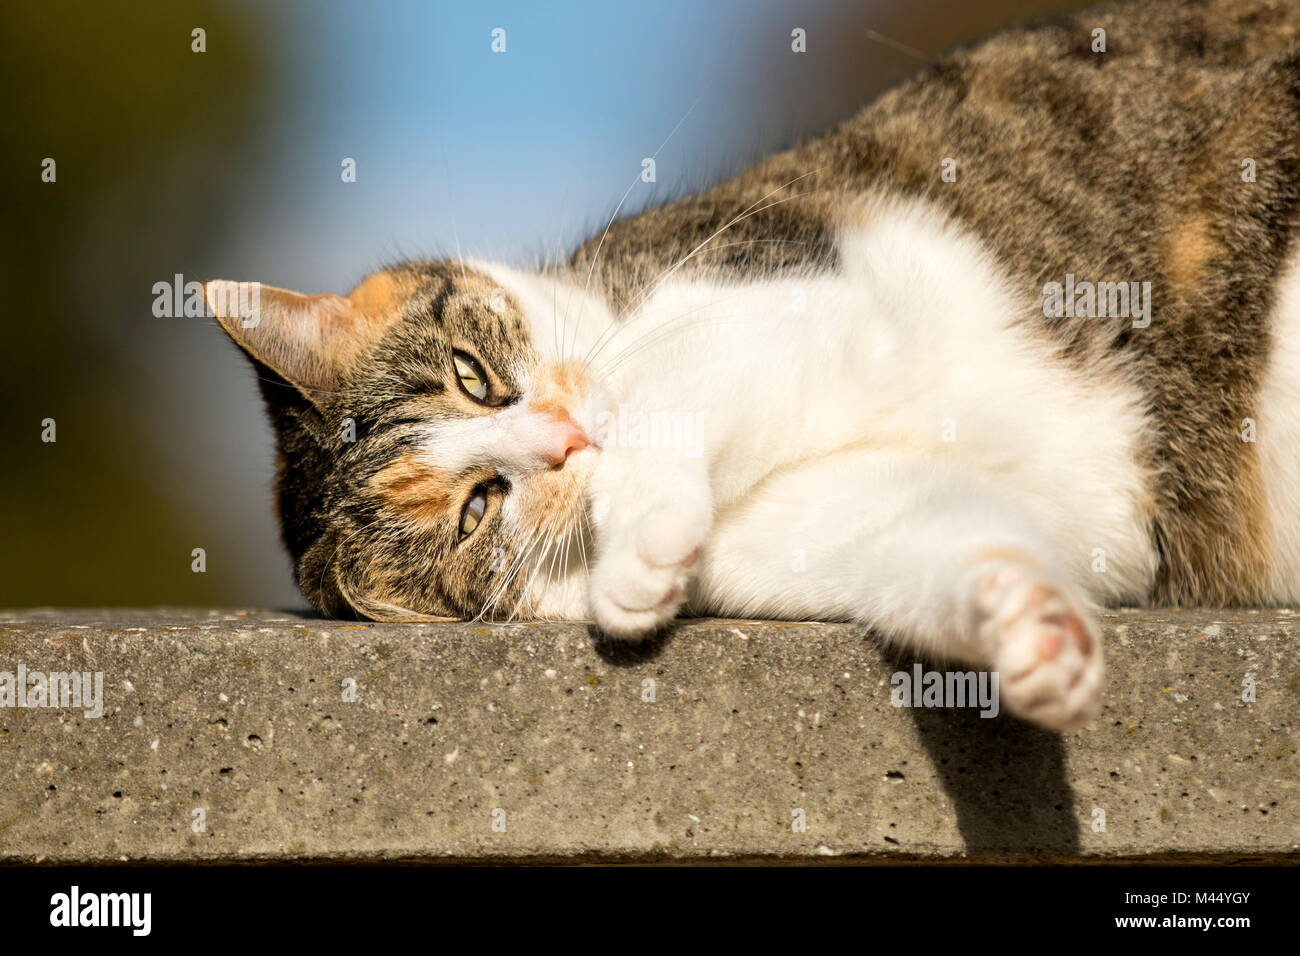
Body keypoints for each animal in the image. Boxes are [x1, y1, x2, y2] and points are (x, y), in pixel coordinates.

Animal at [202, 0, 1300, 733]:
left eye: (475, 376)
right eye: (479, 508)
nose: (565, 435)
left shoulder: (800, 275)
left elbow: (679, 384)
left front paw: (641, 536)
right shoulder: (859, 511)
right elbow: (953, 536)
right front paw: (1032, 632)